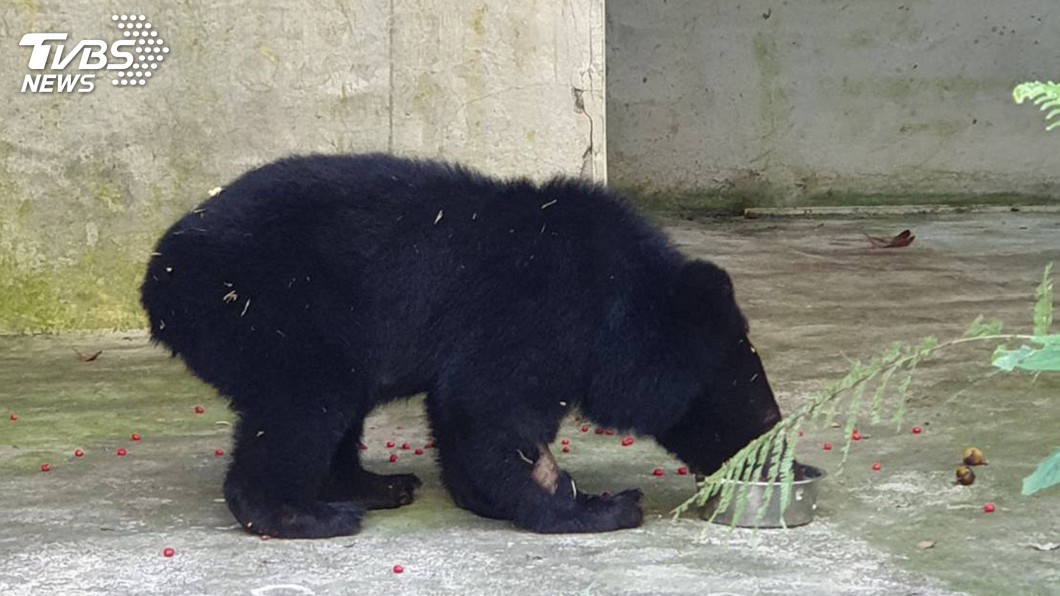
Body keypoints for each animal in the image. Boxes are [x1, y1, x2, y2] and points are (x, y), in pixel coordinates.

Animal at [140, 153, 782, 538]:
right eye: (751, 402)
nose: (782, 456)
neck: (621, 298)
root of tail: (159, 273)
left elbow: (458, 410)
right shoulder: (544, 304)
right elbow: (490, 402)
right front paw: (597, 505)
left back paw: (376, 485)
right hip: (268, 309)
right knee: (307, 402)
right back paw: (305, 513)